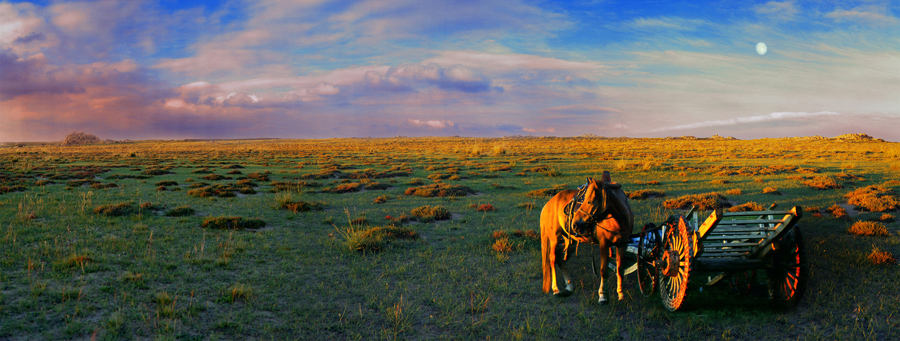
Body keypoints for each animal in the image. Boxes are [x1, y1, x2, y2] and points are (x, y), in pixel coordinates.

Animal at [540, 171, 632, 304]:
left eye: (590, 201)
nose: (575, 224)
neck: (619, 220)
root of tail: (548, 205)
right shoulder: (604, 244)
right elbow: (603, 270)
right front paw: (602, 296)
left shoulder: (622, 244)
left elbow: (620, 269)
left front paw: (621, 294)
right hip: (554, 240)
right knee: (552, 259)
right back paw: (556, 289)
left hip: (569, 242)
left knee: (561, 260)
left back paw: (569, 286)